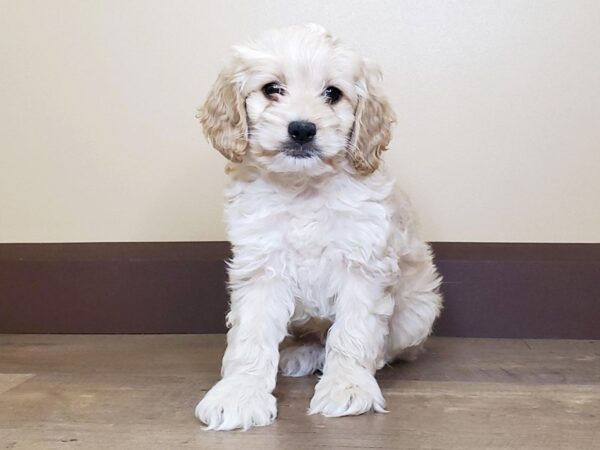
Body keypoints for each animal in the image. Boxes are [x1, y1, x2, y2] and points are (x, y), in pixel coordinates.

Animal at [196, 23, 440, 428]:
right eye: (272, 89)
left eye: (332, 94)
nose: (301, 129)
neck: (304, 188)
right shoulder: (262, 265)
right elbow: (251, 334)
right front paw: (240, 392)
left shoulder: (363, 263)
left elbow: (353, 332)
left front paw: (348, 386)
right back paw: (303, 353)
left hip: (417, 312)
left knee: (384, 346)